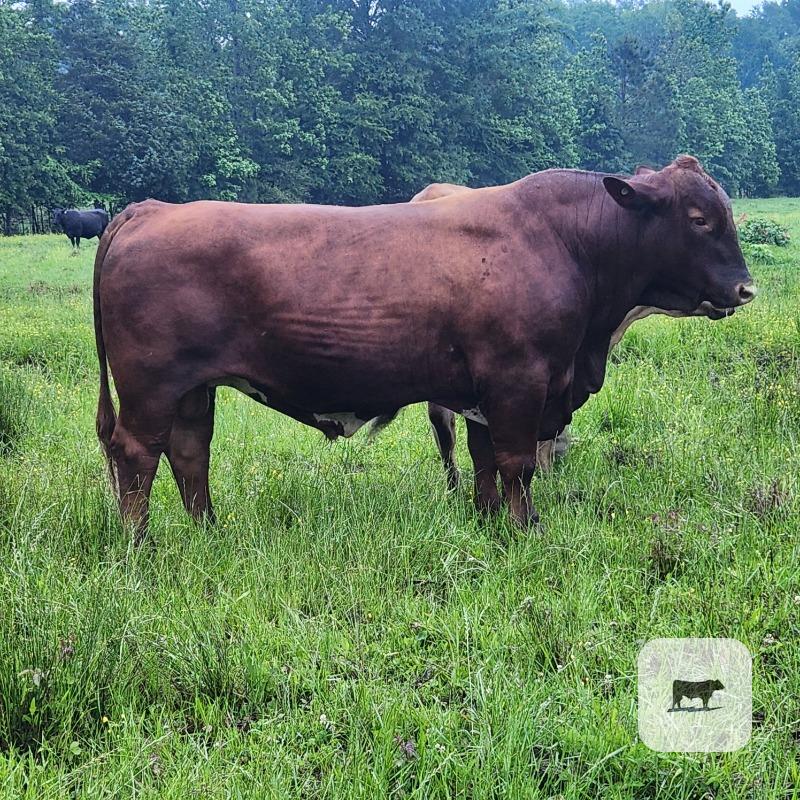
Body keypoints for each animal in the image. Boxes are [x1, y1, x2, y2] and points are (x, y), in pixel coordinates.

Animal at [93, 155, 755, 539]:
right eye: (699, 218)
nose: (745, 288)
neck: (565, 242)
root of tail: (148, 209)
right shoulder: (520, 380)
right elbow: (517, 463)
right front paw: (527, 530)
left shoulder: (485, 392)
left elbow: (487, 462)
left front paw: (489, 522)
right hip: (152, 385)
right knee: (137, 455)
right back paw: (139, 544)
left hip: (192, 388)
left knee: (188, 453)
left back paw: (208, 530)